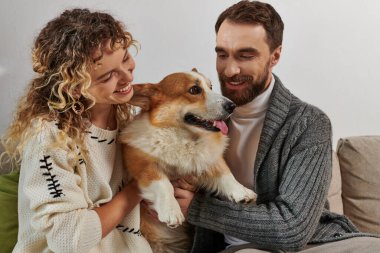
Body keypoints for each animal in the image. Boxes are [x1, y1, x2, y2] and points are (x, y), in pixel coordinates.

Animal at [119, 69, 255, 253]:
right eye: (194, 90)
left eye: (211, 86)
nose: (232, 106)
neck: (186, 137)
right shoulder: (141, 163)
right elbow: (163, 184)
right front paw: (171, 210)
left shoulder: (209, 159)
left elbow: (226, 175)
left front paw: (243, 192)